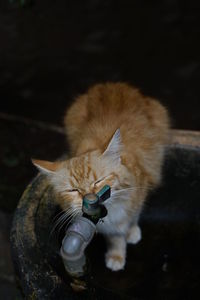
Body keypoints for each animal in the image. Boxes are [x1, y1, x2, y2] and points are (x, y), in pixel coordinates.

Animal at [33, 82, 170, 272]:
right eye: (73, 190)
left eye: (98, 181)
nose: (89, 198)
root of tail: (110, 84)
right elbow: (115, 237)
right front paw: (117, 254)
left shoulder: (141, 190)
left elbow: (133, 216)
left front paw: (131, 232)